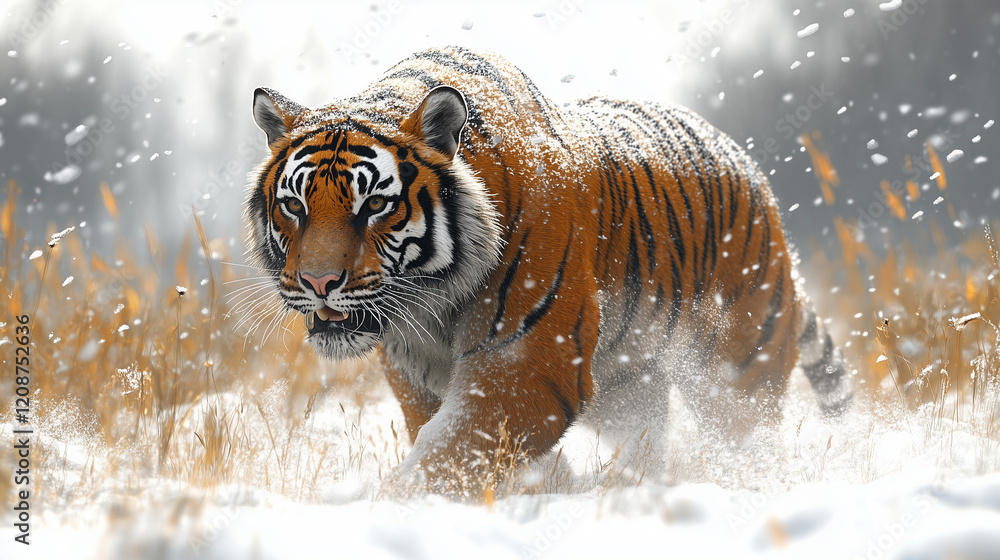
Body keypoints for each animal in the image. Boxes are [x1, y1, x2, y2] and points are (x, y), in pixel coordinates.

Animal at [245, 46, 852, 495]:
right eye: (294, 206)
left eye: (373, 205)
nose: (319, 283)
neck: (432, 302)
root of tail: (746, 164)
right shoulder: (412, 370)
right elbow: (443, 437)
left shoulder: (527, 359)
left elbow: (451, 450)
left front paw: (398, 504)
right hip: (627, 379)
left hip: (740, 368)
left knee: (747, 440)